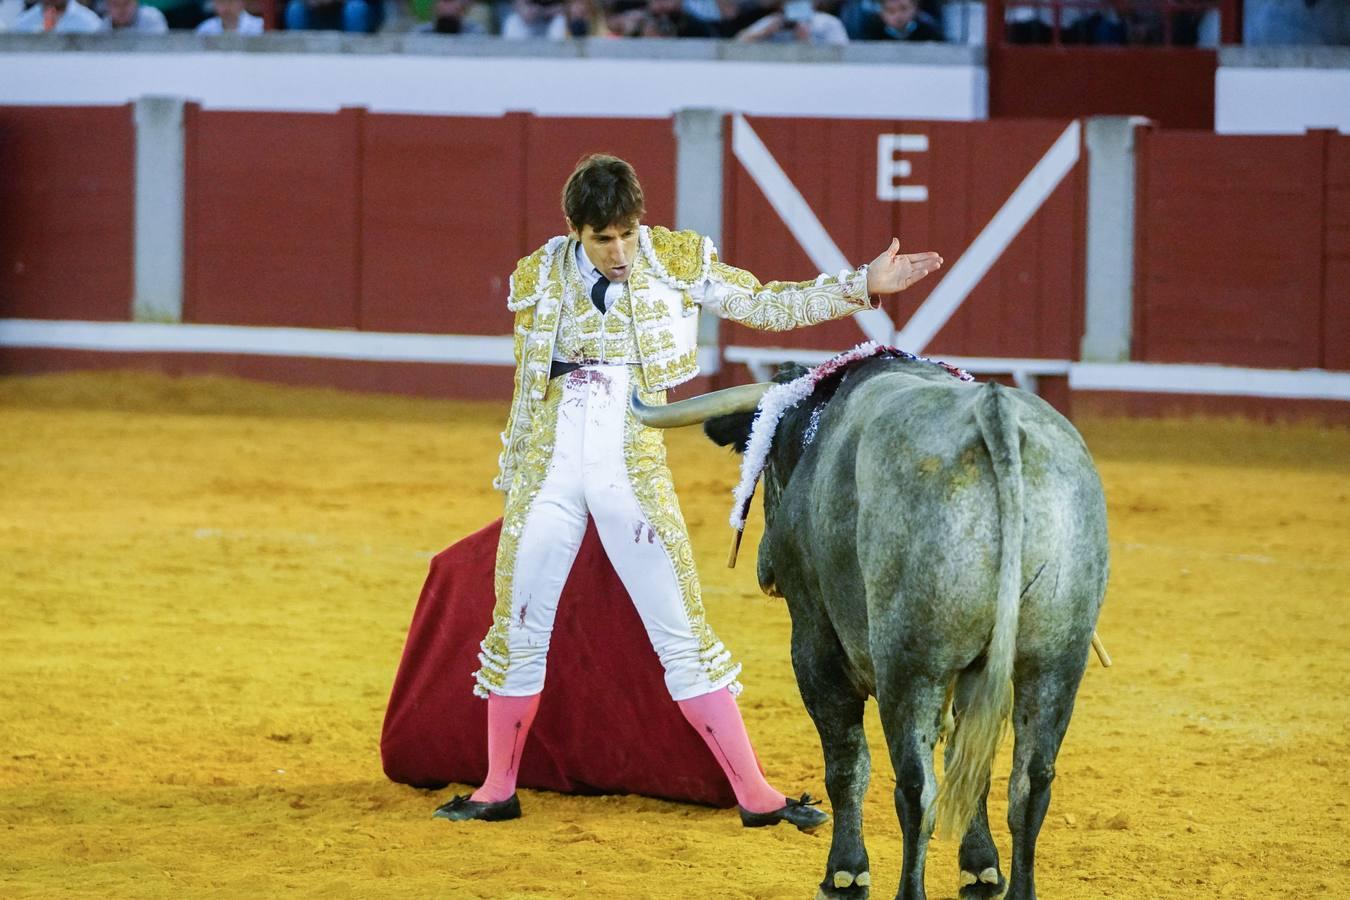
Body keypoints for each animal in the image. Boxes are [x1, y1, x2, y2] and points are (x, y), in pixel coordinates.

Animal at [631, 350, 1107, 900]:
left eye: (768, 461)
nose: (765, 569)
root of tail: (996, 417)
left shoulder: (814, 644)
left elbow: (847, 763)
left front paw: (845, 874)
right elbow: (970, 764)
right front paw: (980, 868)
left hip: (910, 664)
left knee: (916, 788)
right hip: (1055, 661)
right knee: (1028, 783)